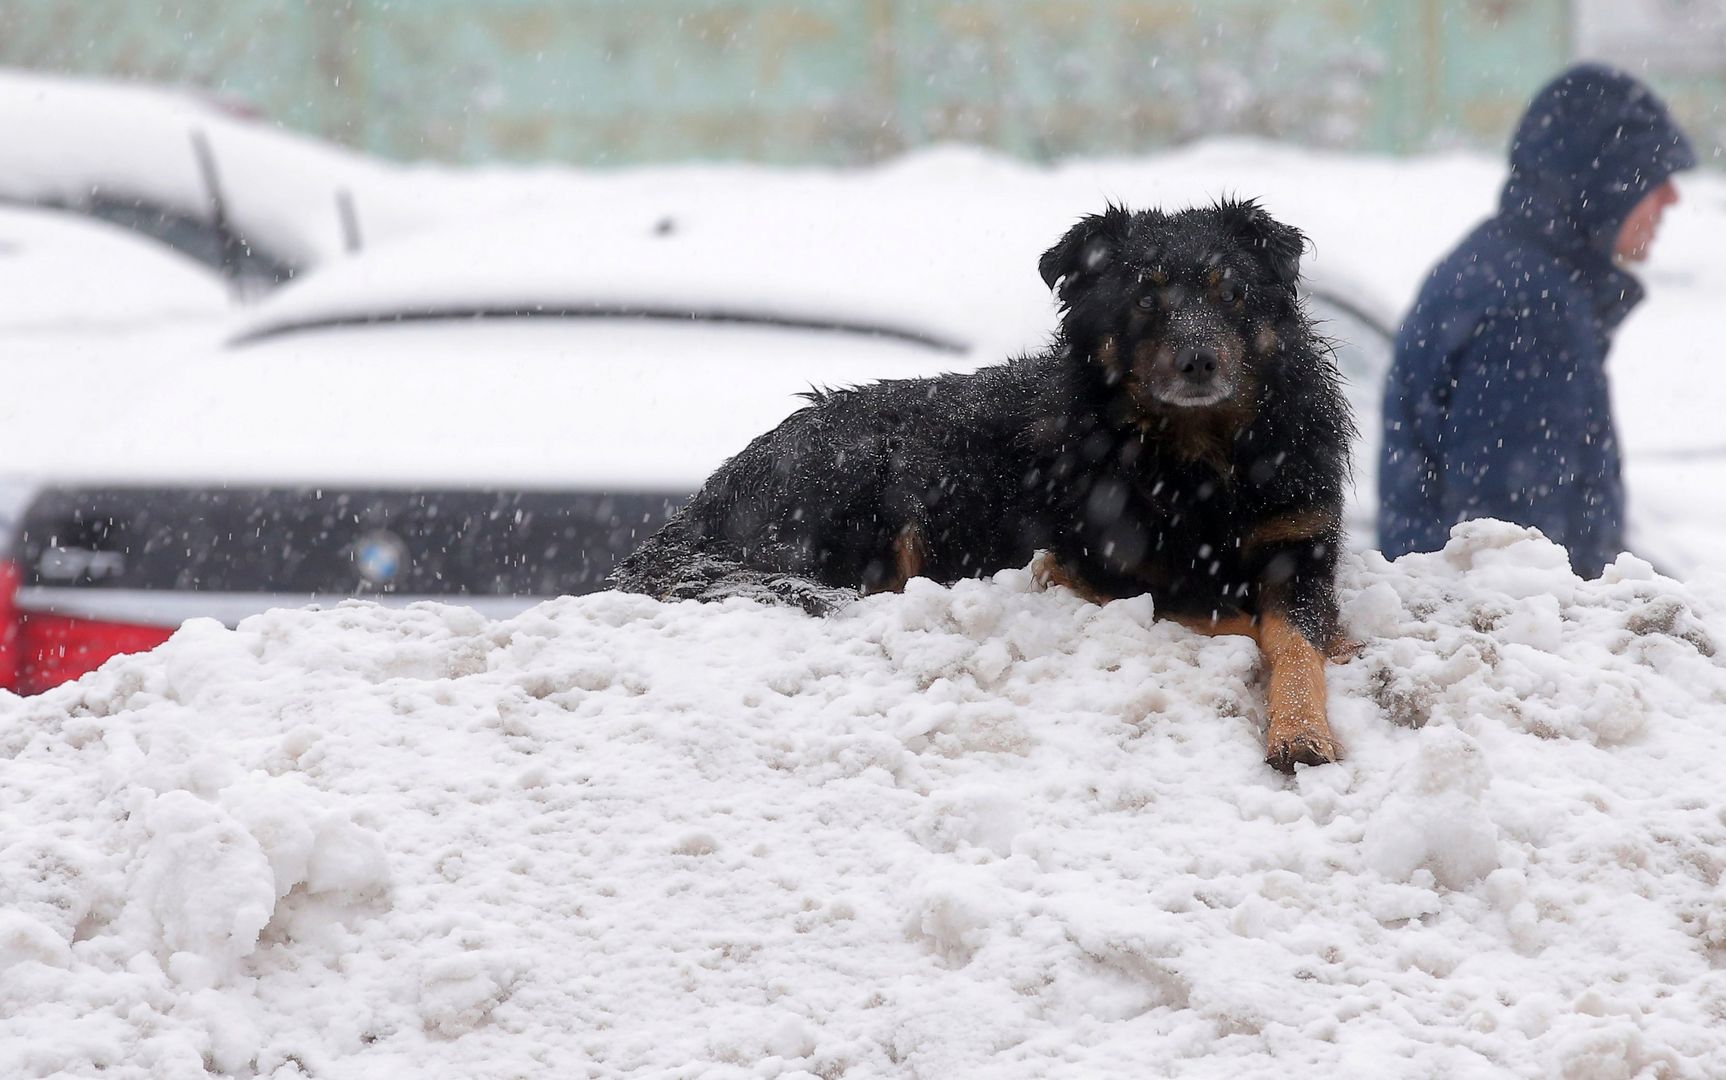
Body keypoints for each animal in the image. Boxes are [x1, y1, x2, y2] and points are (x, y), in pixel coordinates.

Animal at [614, 201, 1353, 769]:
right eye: (1147, 298)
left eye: (1233, 293)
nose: (1199, 361)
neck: (1197, 459)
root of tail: (697, 513)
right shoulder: (1096, 566)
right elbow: (1241, 622)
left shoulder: (1300, 549)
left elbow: (1292, 637)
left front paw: (1301, 726)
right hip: (859, 466)